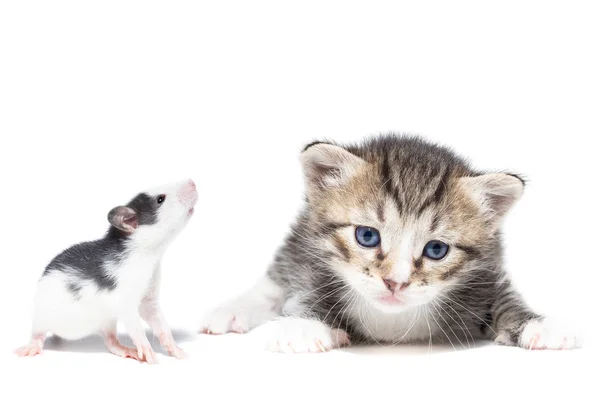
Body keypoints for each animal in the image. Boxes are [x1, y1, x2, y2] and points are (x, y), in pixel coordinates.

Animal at [199, 135, 580, 354]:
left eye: (436, 250)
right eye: (367, 236)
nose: (395, 282)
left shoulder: (484, 274)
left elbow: (506, 299)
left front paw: (537, 324)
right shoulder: (312, 262)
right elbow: (305, 290)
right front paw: (305, 326)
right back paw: (232, 311)